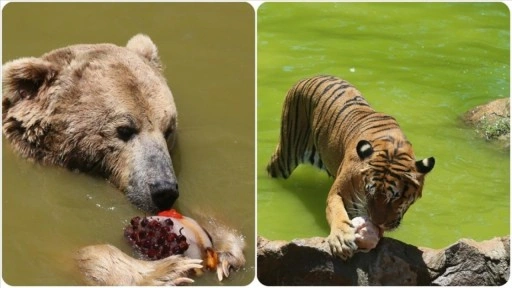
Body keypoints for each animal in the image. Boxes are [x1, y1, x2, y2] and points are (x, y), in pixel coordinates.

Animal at [268, 75, 436, 260]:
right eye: (371, 193)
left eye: (395, 197)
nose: (376, 222)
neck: (393, 149)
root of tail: (309, 77)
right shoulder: (337, 193)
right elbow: (337, 213)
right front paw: (341, 239)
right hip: (286, 154)